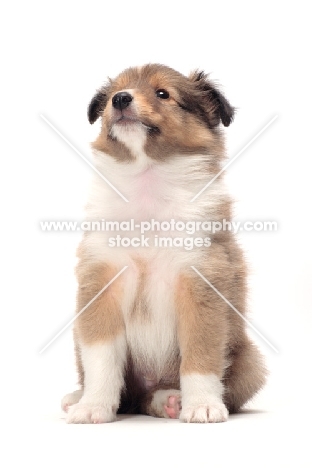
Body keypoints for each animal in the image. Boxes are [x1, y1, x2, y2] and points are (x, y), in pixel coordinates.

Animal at [62, 63, 266, 424]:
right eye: (115, 91)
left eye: (162, 93)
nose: (120, 99)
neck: (148, 180)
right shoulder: (101, 281)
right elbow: (101, 358)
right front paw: (92, 407)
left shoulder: (200, 282)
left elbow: (200, 355)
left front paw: (202, 406)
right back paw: (79, 397)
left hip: (251, 362)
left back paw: (170, 400)